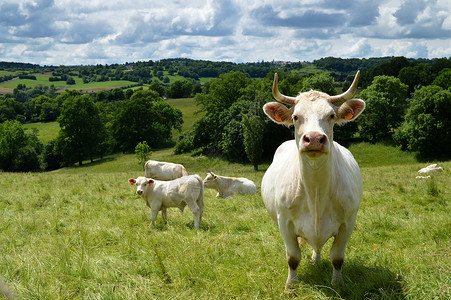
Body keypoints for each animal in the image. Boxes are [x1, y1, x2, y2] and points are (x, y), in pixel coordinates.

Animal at [264, 71, 366, 288]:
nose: (314, 139)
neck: (316, 191)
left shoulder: (348, 223)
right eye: (296, 117)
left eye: (331, 115)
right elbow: (292, 257)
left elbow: (337, 257)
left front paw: (338, 283)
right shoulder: (284, 222)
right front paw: (291, 285)